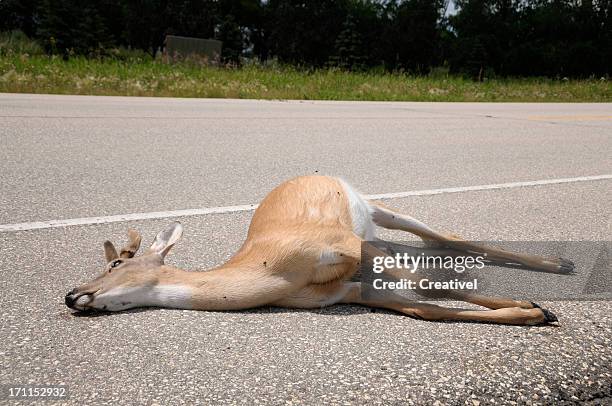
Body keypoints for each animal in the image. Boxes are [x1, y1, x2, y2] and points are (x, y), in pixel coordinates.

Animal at [64, 176, 572, 326]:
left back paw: (560, 264)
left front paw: (534, 307)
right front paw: (529, 313)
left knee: (443, 236)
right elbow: (426, 308)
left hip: (377, 213)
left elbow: (429, 287)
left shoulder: (343, 244)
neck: (274, 272)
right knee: (430, 247)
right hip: (375, 235)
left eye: (115, 262)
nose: (71, 294)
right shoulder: (347, 291)